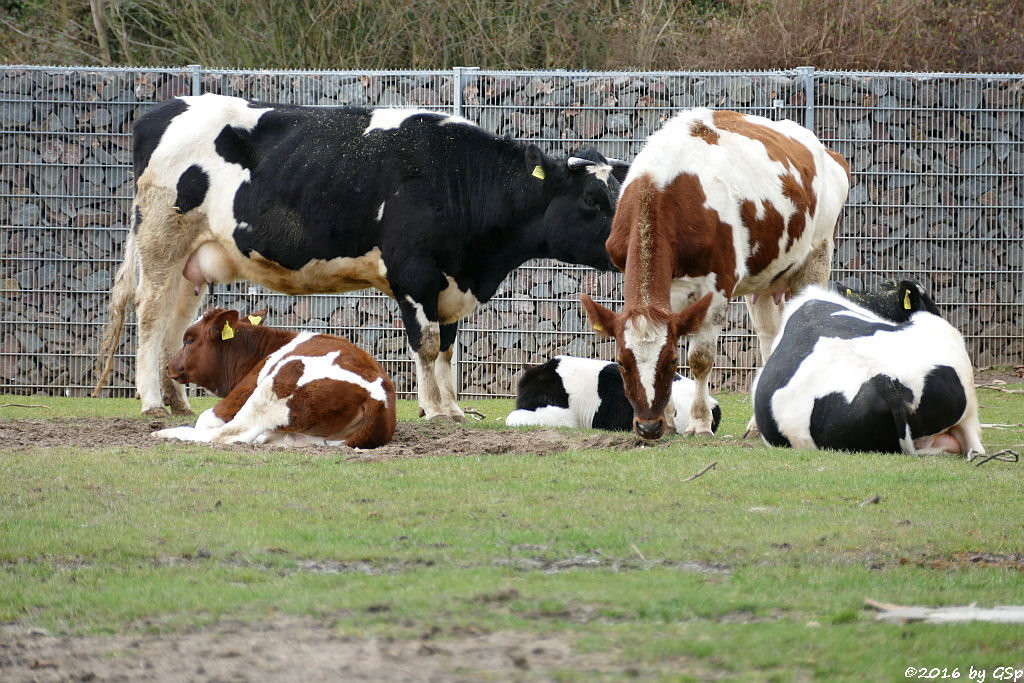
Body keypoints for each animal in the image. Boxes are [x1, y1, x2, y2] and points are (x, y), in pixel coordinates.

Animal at [92, 92, 626, 419]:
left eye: (617, 194)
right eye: (591, 200)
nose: (621, 245)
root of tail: (163, 110)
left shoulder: (450, 283)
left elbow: (447, 347)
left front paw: (452, 409)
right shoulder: (414, 274)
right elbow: (426, 344)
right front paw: (435, 411)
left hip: (193, 263)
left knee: (177, 323)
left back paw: (179, 403)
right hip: (162, 241)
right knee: (150, 314)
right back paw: (151, 402)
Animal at [153, 309, 397, 448]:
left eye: (189, 339)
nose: (168, 366)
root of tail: (378, 398)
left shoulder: (243, 390)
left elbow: (206, 419)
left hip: (276, 385)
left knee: (228, 434)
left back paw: (164, 433)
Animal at [581, 107, 851, 438]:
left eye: (671, 362)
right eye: (621, 362)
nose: (647, 426)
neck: (664, 186)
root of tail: (828, 153)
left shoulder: (718, 283)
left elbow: (700, 358)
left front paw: (699, 423)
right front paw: (670, 422)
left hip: (816, 259)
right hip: (764, 282)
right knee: (769, 338)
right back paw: (756, 426)